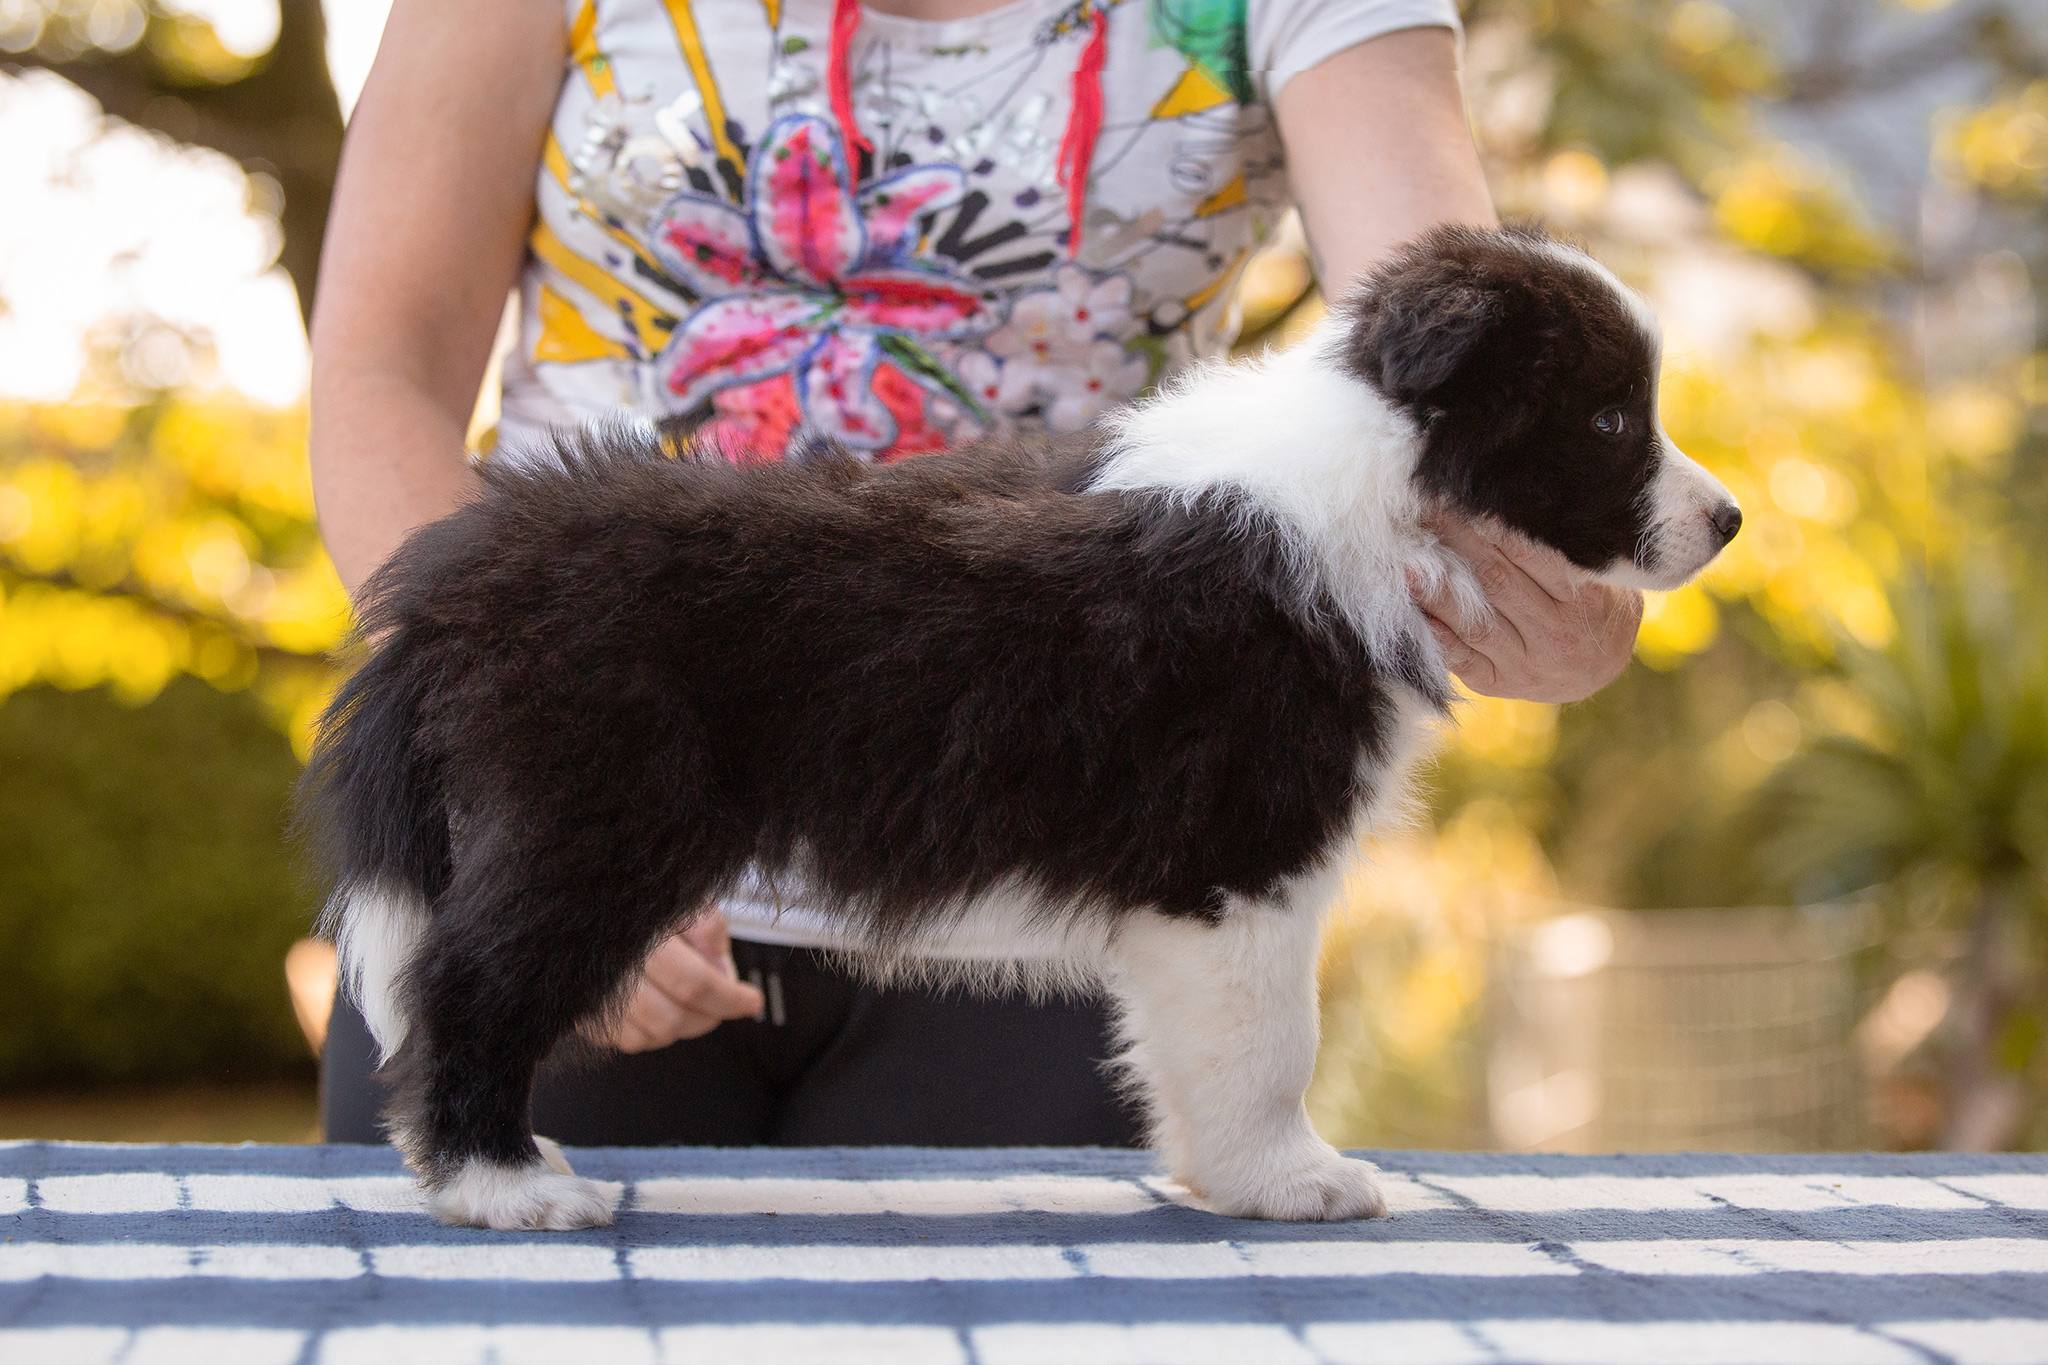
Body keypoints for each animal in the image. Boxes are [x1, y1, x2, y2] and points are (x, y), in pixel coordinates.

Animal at [307, 222, 1744, 1227]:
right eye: (1610, 415)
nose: (1729, 521)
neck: (1375, 472)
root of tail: (467, 573)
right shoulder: (1241, 855)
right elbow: (1271, 1040)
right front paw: (1290, 1181)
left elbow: (1190, 1044)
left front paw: (1218, 1178)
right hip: (598, 815)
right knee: (468, 985)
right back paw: (505, 1184)